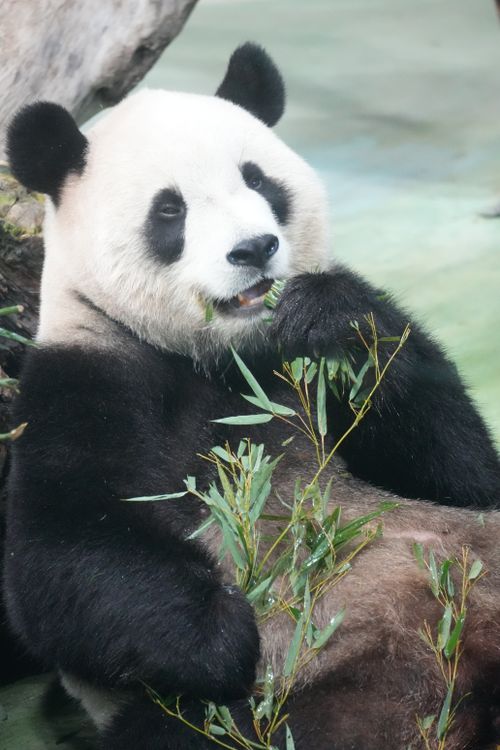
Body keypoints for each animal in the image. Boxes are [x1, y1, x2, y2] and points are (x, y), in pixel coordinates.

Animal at [4, 43, 500, 750]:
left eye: (259, 181)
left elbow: (461, 470)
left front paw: (331, 319)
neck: (223, 355)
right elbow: (65, 556)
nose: (254, 248)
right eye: (170, 210)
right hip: (339, 697)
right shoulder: (84, 378)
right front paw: (223, 629)